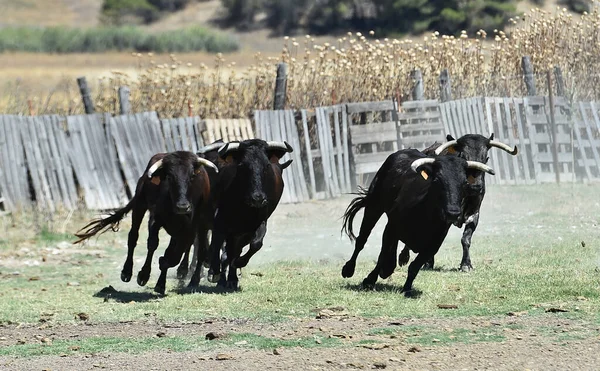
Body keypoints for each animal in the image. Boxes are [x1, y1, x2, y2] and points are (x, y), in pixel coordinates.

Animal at [206, 140, 292, 290]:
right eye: (242, 165)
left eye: (267, 165)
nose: (257, 198)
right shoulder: (219, 220)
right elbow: (216, 244)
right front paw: (214, 272)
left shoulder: (259, 223)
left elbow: (256, 244)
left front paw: (238, 263)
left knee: (233, 251)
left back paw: (231, 279)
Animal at [340, 150, 494, 294]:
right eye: (437, 180)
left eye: (464, 183)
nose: (453, 213)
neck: (425, 214)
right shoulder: (391, 228)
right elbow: (382, 255)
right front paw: (369, 280)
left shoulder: (434, 244)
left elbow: (415, 266)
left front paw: (407, 288)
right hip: (374, 206)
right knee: (361, 240)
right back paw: (348, 269)